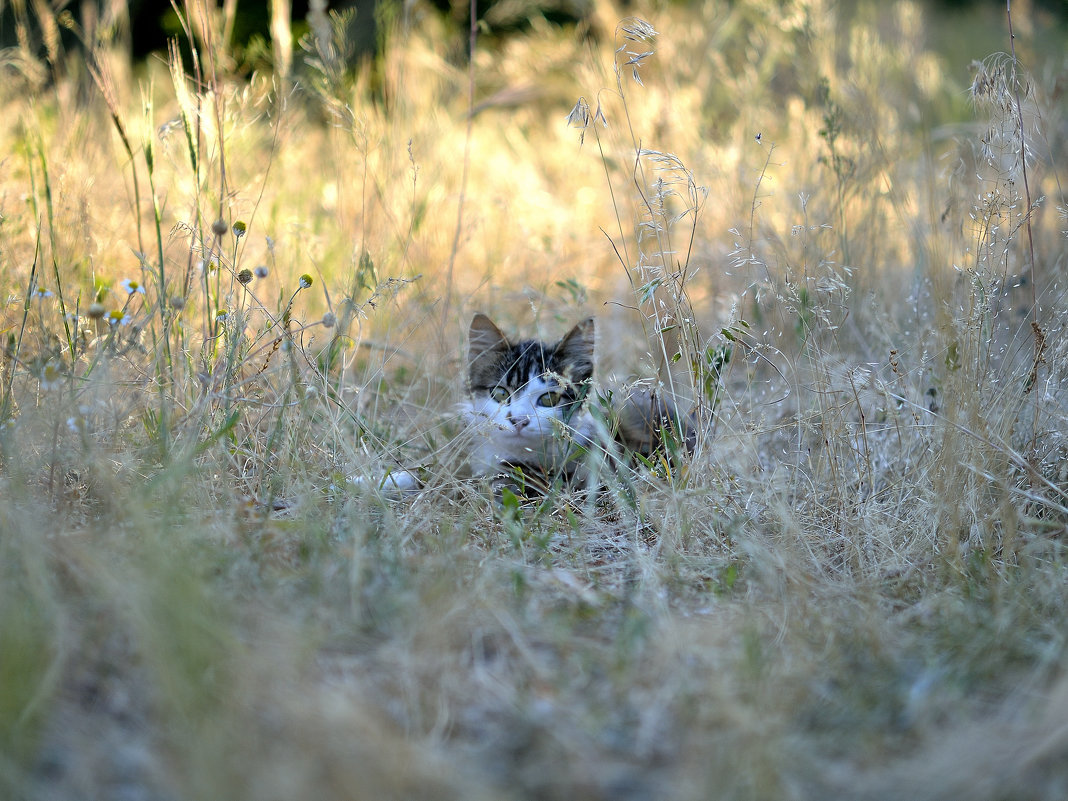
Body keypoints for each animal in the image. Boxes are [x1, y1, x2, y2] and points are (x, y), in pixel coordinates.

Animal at [358, 311, 692, 495]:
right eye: (500, 394)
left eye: (550, 398)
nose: (518, 420)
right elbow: (436, 474)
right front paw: (371, 480)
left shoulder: (549, 479)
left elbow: (460, 488)